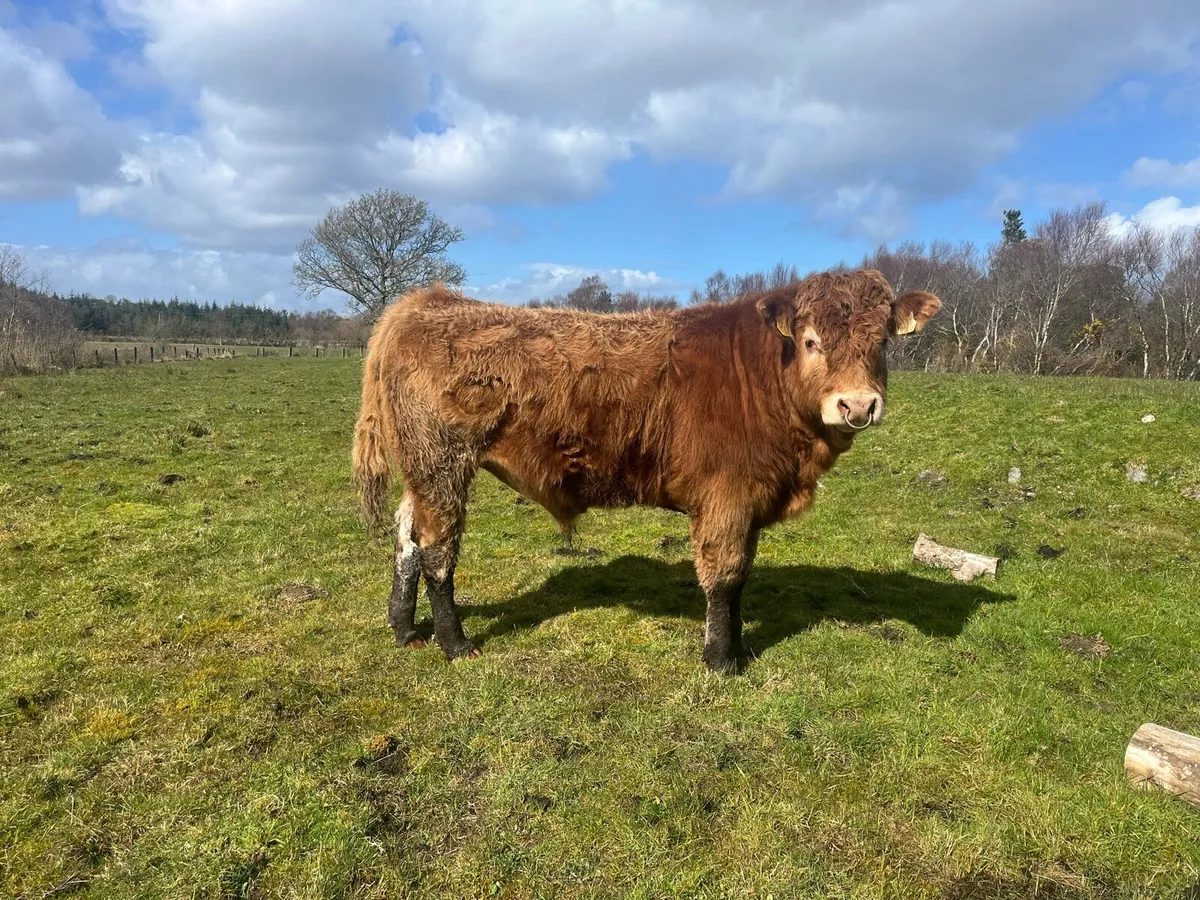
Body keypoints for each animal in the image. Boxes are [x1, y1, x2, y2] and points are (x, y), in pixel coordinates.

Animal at [352, 269, 940, 673]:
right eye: (812, 340)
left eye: (882, 341)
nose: (857, 405)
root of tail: (425, 302)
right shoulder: (726, 497)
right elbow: (724, 577)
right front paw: (721, 659)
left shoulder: (749, 502)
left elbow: (742, 576)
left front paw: (738, 645)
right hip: (442, 463)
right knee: (437, 550)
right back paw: (456, 643)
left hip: (422, 471)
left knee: (407, 537)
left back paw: (405, 629)